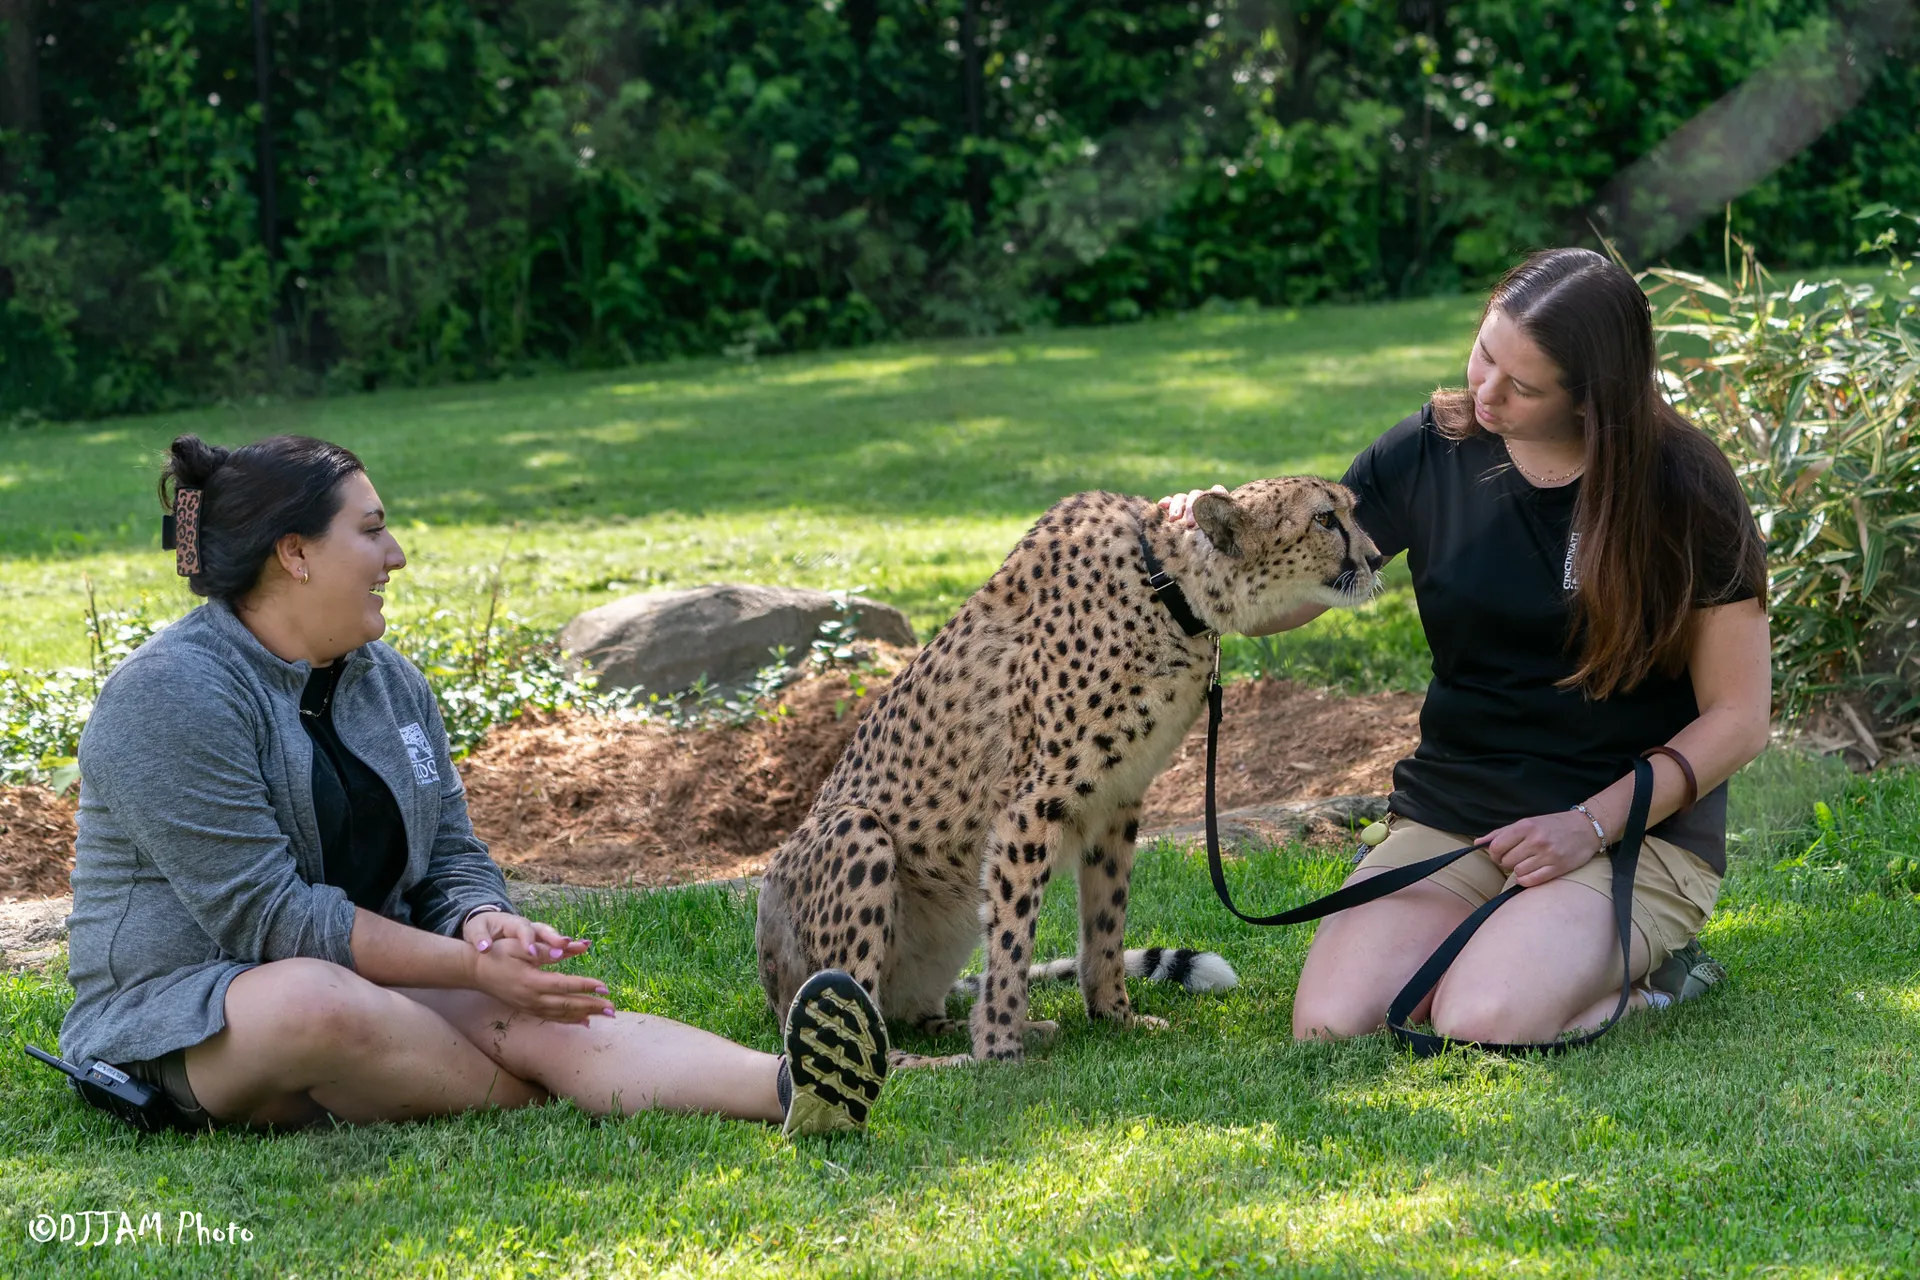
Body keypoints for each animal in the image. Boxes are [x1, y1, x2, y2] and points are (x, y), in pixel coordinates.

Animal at [755, 477, 1383, 1063]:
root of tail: (770, 987)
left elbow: (1105, 923)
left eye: (1352, 510)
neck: (1168, 588)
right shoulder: (1030, 808)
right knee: (840, 1028)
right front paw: (1000, 1049)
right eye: (1325, 519)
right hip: (854, 830)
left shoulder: (1118, 801)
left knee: (907, 1014)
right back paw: (946, 1060)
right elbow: (1013, 938)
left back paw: (972, 1029)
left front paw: (1114, 1016)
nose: (1377, 558)